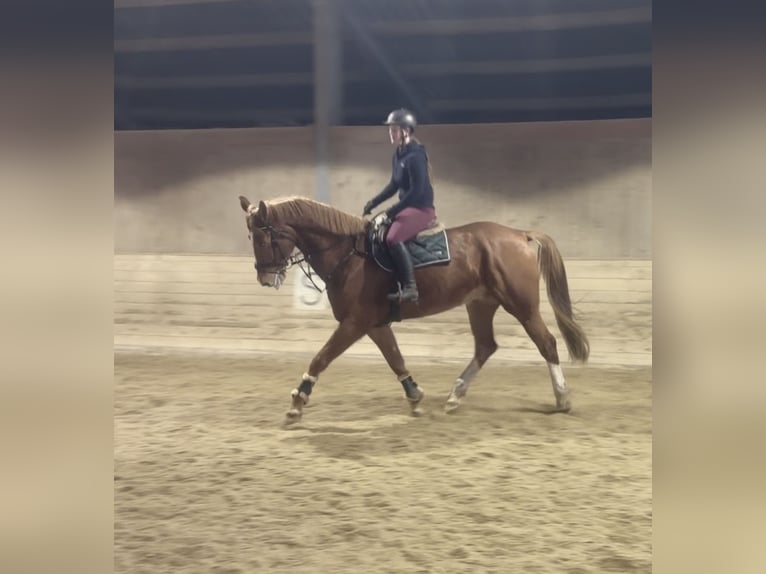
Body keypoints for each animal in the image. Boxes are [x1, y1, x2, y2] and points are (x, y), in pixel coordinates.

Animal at [238, 195, 589, 423]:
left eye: (263, 238)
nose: (265, 278)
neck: (350, 255)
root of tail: (520, 234)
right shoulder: (374, 324)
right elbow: (396, 359)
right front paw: (415, 398)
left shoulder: (354, 323)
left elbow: (321, 358)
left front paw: (297, 402)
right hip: (480, 304)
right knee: (485, 346)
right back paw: (455, 396)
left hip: (521, 305)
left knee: (547, 343)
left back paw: (562, 398)